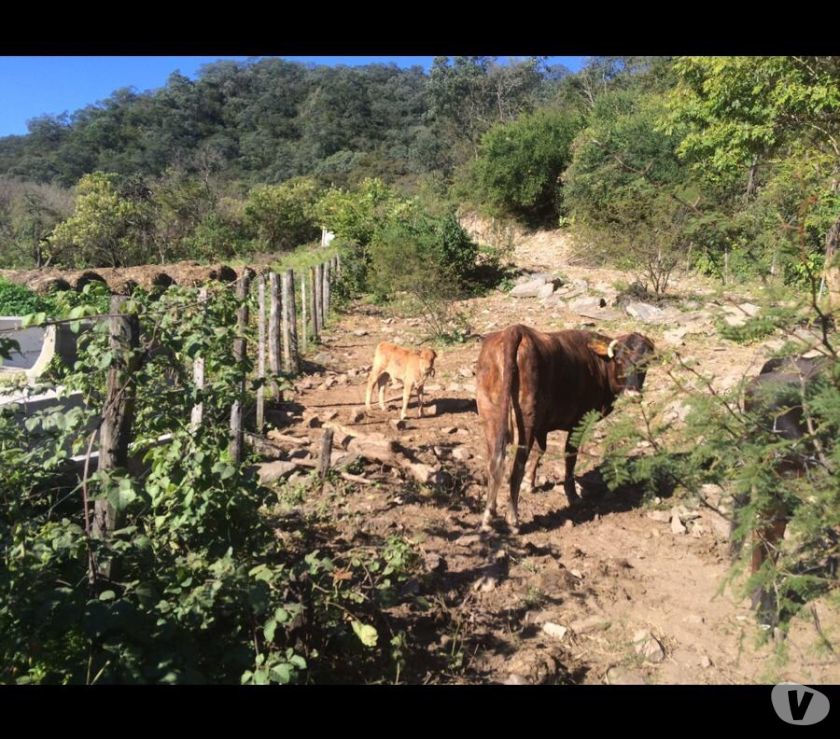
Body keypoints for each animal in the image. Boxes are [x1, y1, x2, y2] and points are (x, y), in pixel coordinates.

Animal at [476, 324, 652, 532]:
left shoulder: (542, 424)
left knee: (494, 460)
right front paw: (573, 495)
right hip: (526, 418)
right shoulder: (579, 421)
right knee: (517, 464)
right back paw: (513, 518)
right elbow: (570, 455)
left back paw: (489, 515)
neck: (598, 364)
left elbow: (540, 449)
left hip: (490, 411)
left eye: (645, 364)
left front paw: (530, 483)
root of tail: (516, 330)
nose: (634, 394)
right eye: (619, 360)